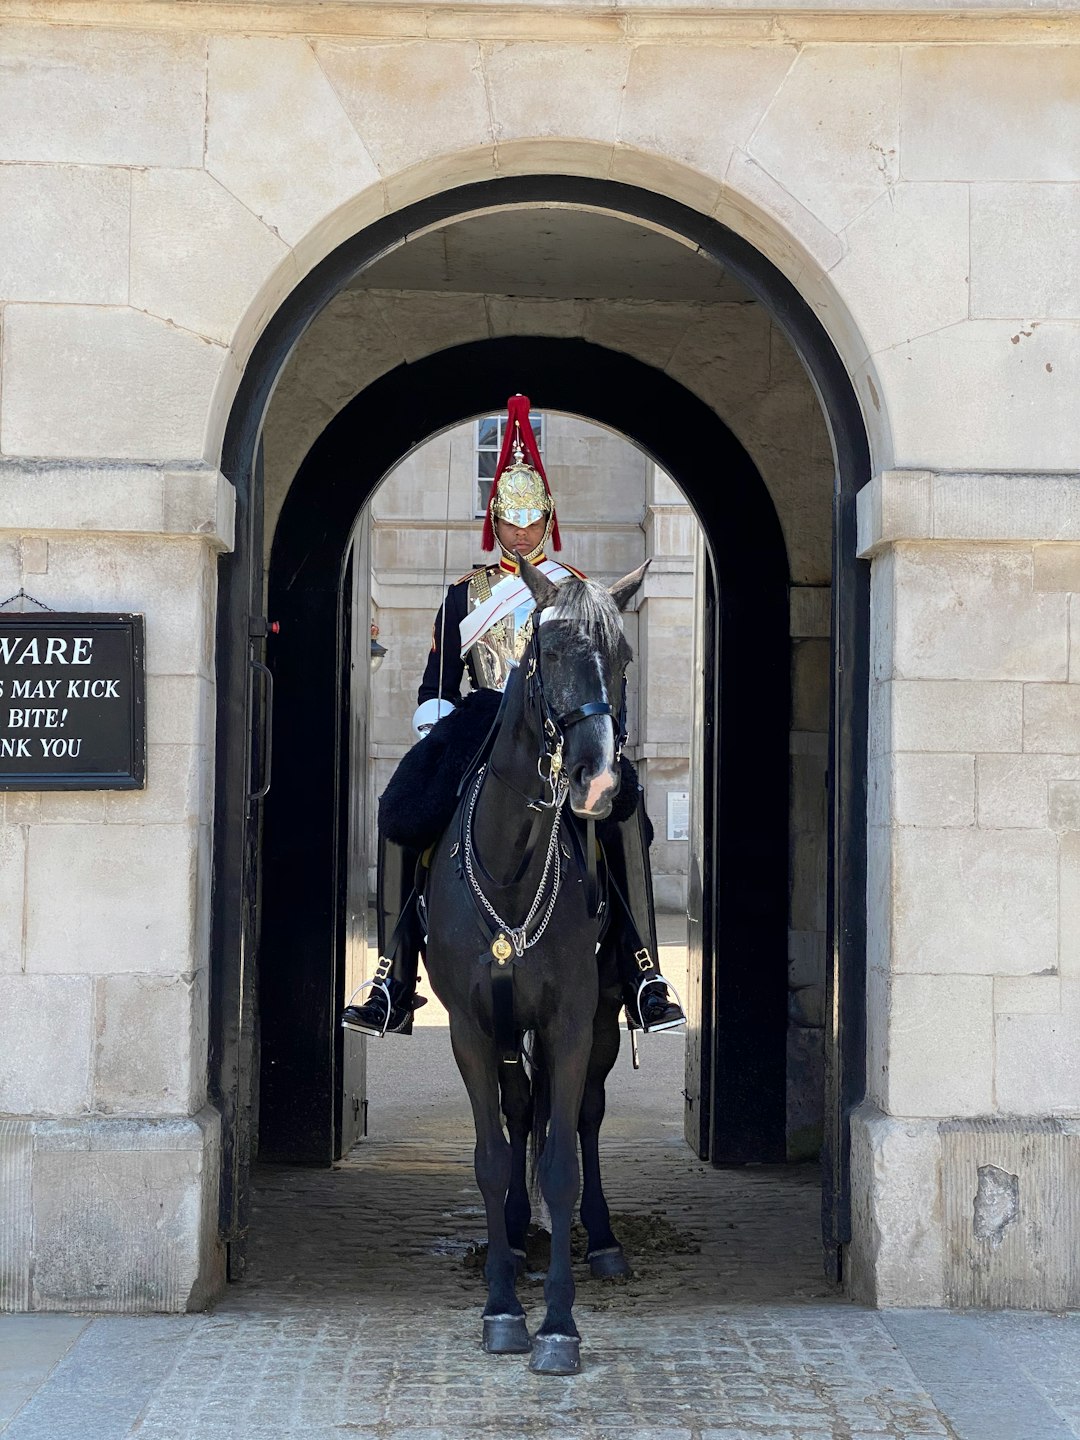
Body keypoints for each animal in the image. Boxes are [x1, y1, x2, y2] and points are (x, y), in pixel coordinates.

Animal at [420, 550, 650, 1370]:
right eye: (547, 653)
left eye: (623, 657)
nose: (599, 782)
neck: (514, 864)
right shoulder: (471, 1026)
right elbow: (493, 1156)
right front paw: (501, 1309)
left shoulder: (573, 1021)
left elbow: (561, 1160)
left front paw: (557, 1325)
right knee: (524, 1112)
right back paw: (517, 1238)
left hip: (605, 1019)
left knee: (580, 1117)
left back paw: (602, 1240)